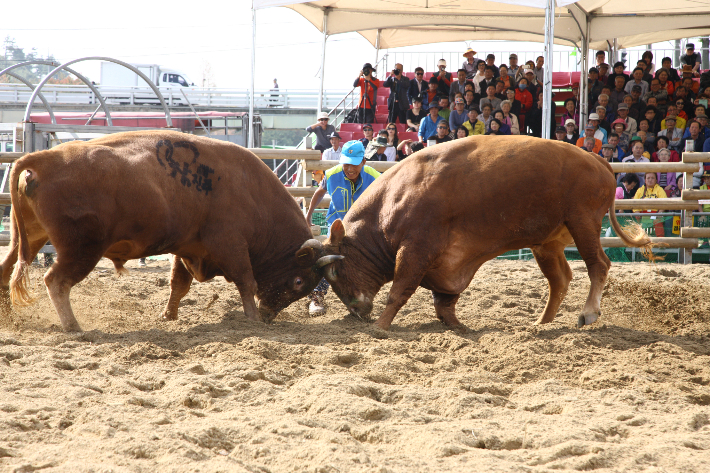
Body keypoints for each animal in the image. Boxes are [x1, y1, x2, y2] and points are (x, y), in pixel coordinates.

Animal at [2, 130, 332, 332]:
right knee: (56, 281)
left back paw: (8, 317)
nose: (269, 315)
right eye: (299, 281)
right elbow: (246, 282)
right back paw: (73, 328)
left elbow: (179, 285)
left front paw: (168, 316)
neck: (250, 189)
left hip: (29, 238)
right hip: (81, 249)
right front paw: (251, 320)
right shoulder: (231, 245)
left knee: (6, 270)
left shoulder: (188, 248)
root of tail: (43, 159)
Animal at [320, 135, 652, 330]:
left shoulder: (417, 249)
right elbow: (444, 301)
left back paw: (588, 312)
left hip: (583, 222)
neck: (394, 198)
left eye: (335, 271)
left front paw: (380, 326)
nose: (357, 311)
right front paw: (458, 327)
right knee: (559, 279)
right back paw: (541, 322)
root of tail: (597, 160)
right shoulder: (447, 261)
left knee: (598, 265)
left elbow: (399, 291)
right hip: (547, 242)